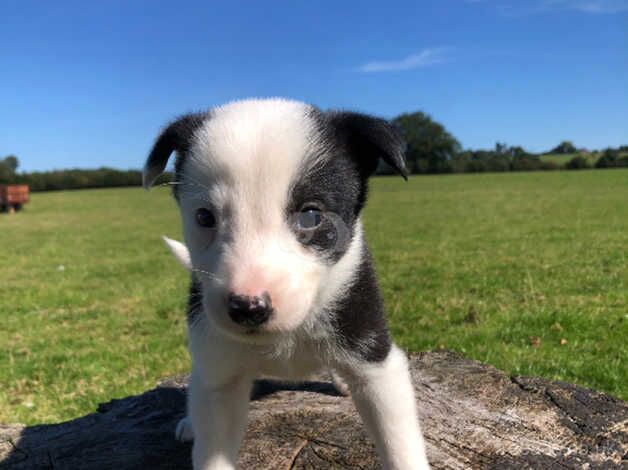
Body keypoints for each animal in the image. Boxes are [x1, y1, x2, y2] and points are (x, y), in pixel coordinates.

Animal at [145, 99, 432, 470]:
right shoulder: (221, 379)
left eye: (311, 215)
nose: (248, 306)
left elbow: (398, 442)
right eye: (204, 217)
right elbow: (213, 445)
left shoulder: (375, 357)